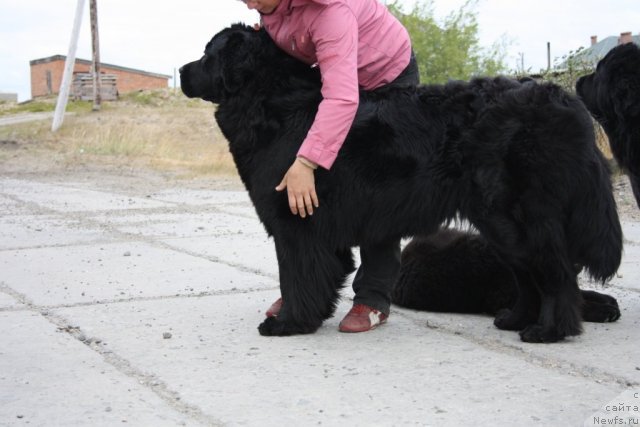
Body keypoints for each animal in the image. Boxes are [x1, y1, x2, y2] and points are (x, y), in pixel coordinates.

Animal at [179, 24, 620, 344]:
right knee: (527, 274)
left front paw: (289, 323)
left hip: (520, 217)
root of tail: (560, 97)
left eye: (207, 53)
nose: (181, 71)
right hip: (498, 225)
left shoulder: (297, 223)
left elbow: (298, 276)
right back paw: (514, 319)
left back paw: (550, 331)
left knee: (556, 273)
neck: (271, 104)